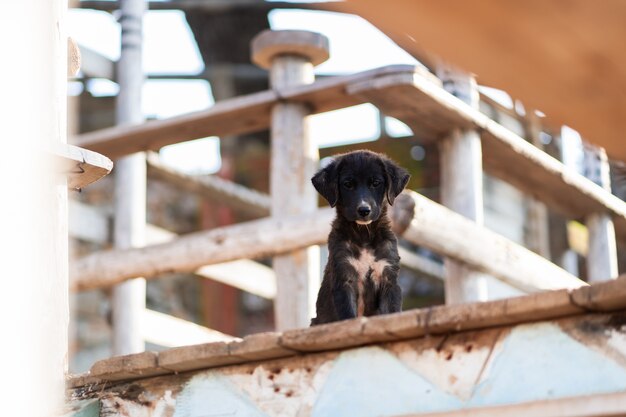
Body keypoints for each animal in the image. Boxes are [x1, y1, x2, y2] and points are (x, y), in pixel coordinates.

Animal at [308, 150, 408, 324]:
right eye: (348, 184)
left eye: (376, 183)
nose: (364, 210)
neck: (364, 235)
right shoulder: (344, 277)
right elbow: (348, 316)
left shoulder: (389, 277)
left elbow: (392, 313)